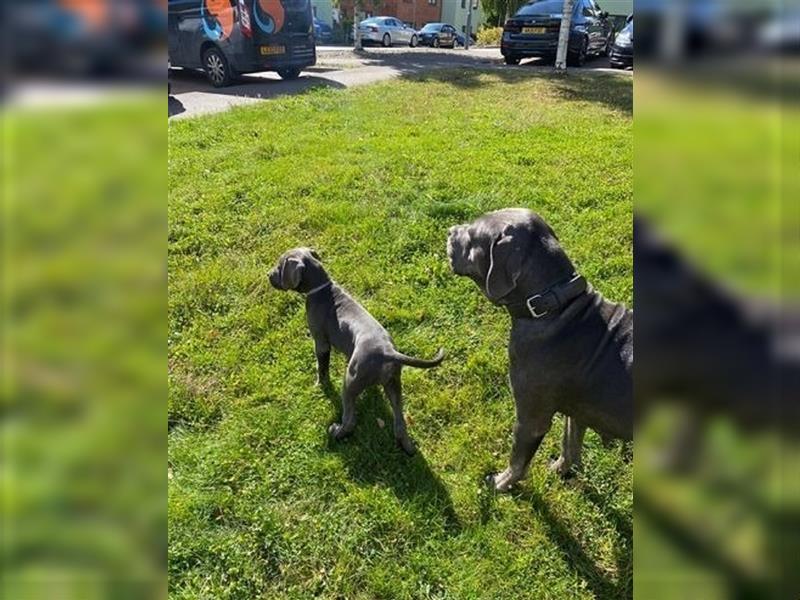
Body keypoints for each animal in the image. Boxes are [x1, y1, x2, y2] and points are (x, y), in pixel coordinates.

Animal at [268, 246, 444, 452]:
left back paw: (337, 432)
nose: (268, 275)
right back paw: (407, 448)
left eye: (280, 266)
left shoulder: (320, 341)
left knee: (350, 418)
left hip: (350, 382)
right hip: (393, 384)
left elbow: (322, 366)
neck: (322, 288)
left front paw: (320, 384)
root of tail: (388, 353)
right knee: (400, 421)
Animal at [446, 209, 628, 490]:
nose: (450, 231)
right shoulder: (576, 412)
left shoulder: (531, 418)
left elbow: (518, 461)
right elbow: (570, 445)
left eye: (472, 234)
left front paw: (501, 484)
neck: (552, 307)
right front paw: (560, 470)